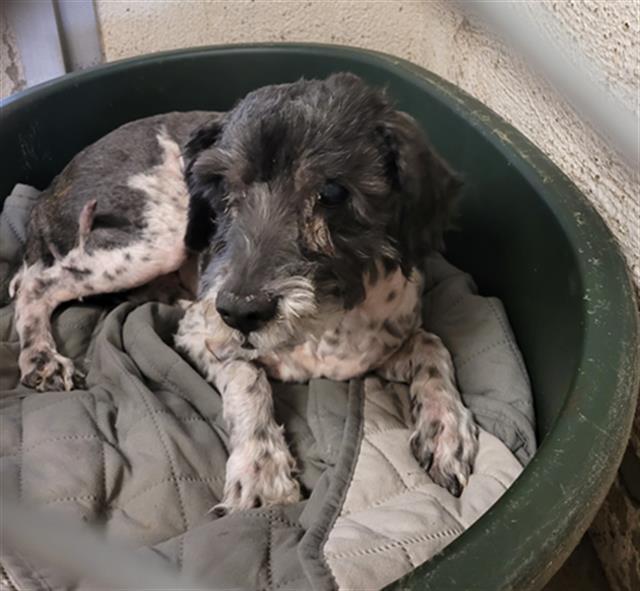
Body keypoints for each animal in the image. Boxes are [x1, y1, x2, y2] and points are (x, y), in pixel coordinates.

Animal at [11, 74, 480, 516]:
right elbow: (247, 376)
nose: (239, 312)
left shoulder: (377, 349)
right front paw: (261, 468)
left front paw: (446, 427)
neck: (324, 323)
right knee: (38, 283)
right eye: (221, 187)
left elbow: (433, 345)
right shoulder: (201, 333)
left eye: (332, 192)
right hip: (155, 242)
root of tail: (49, 190)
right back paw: (41, 357)